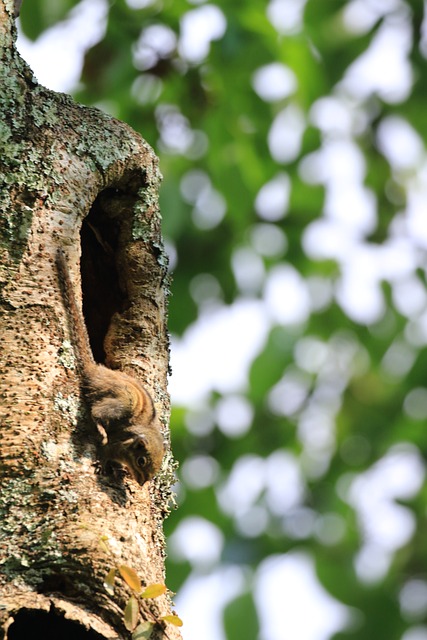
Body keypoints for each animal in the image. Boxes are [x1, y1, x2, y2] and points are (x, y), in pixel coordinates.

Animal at [55, 248, 166, 482]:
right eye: (141, 461)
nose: (142, 483)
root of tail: (97, 371)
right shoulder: (116, 445)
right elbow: (106, 452)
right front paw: (105, 465)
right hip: (123, 402)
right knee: (97, 412)